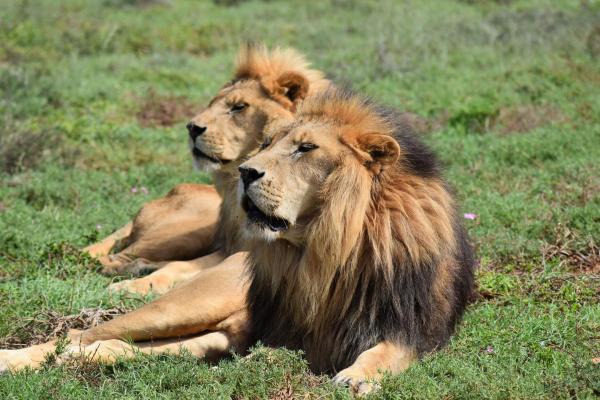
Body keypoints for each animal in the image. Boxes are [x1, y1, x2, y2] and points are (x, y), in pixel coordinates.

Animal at [237, 88, 476, 394]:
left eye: (306, 148)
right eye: (266, 144)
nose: (244, 172)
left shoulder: (413, 329)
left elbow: (383, 352)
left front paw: (356, 376)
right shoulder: (285, 326)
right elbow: (270, 348)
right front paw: (249, 360)